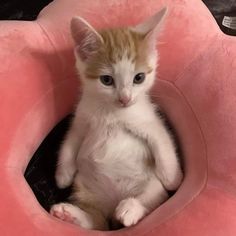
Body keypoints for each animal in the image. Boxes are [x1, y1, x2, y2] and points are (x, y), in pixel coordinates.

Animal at [49, 7, 183, 230]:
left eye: (139, 78)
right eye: (106, 80)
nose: (125, 99)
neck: (112, 112)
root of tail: (112, 205)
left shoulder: (149, 121)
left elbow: (163, 144)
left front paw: (174, 178)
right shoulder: (81, 121)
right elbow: (69, 144)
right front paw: (63, 175)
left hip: (150, 184)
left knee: (150, 199)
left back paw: (130, 209)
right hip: (84, 190)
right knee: (97, 223)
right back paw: (70, 214)